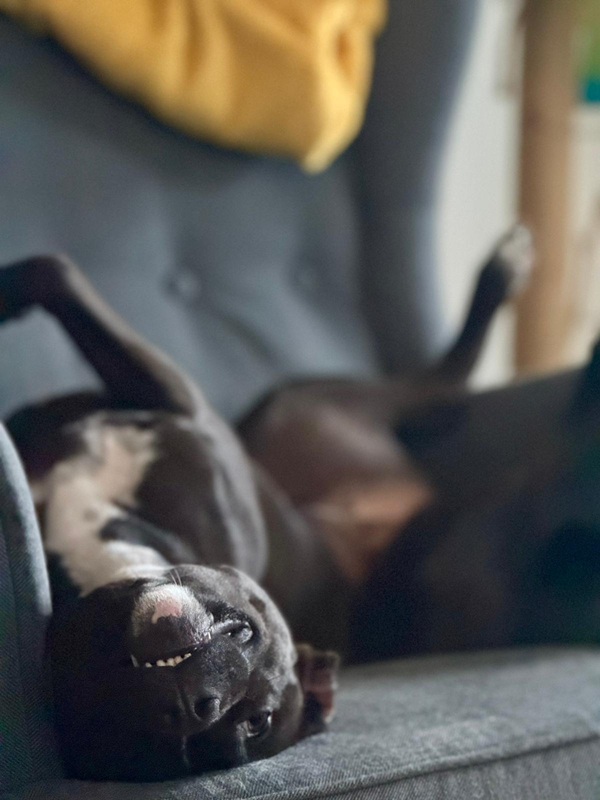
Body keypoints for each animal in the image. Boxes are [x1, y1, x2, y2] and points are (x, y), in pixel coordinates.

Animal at [2, 226, 600, 782]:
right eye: (142, 736)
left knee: (460, 389)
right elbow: (48, 271)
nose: (196, 707)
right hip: (302, 410)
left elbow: (55, 270)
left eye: (255, 722)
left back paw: (514, 283)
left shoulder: (176, 398)